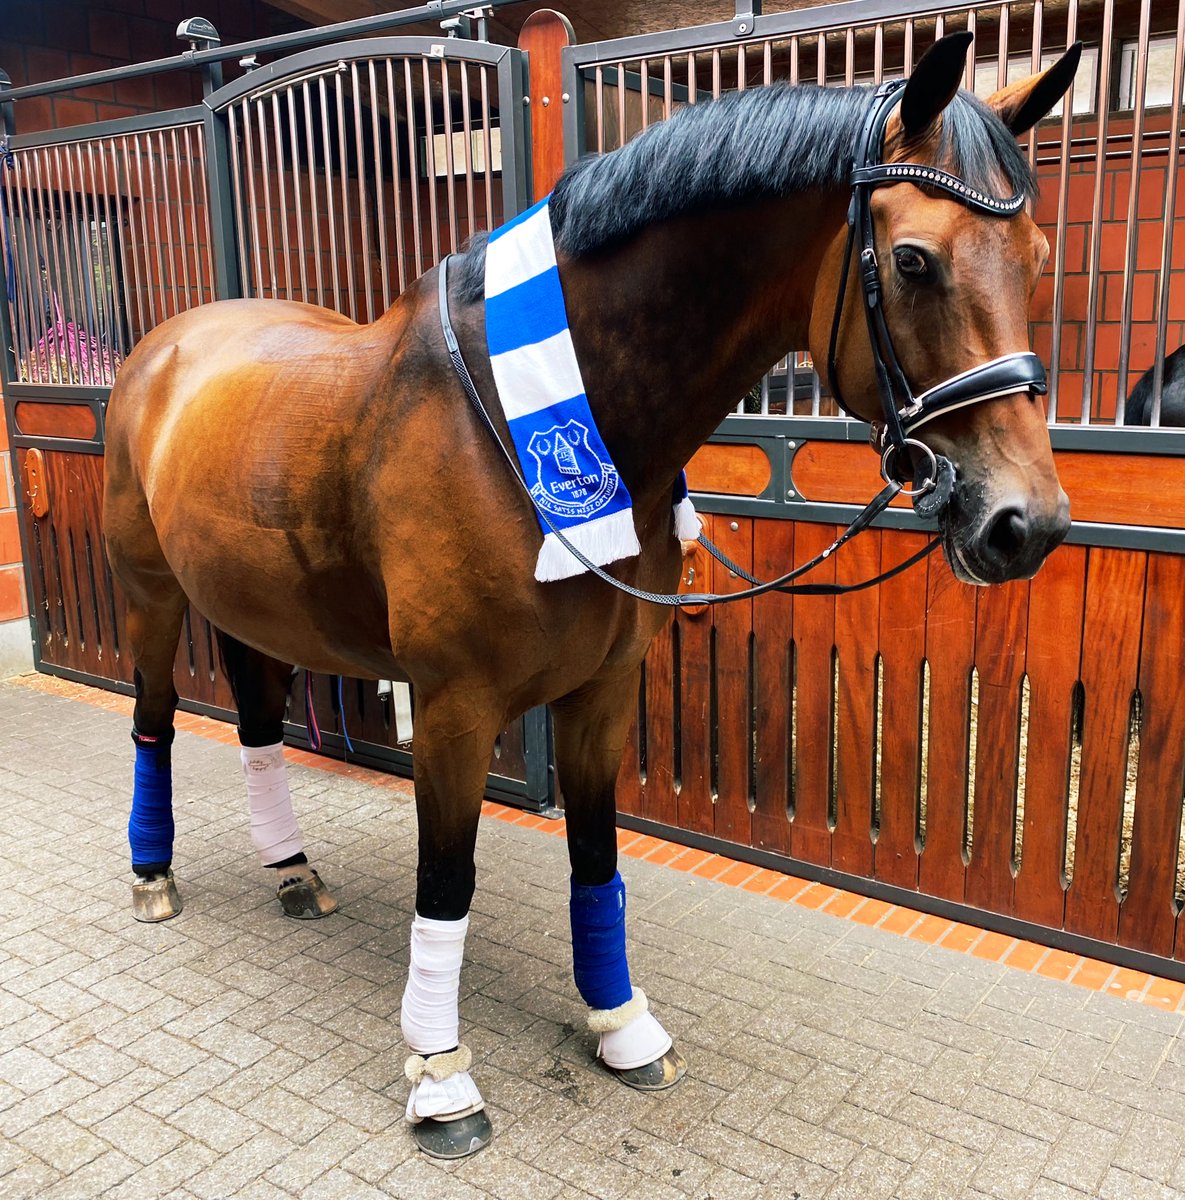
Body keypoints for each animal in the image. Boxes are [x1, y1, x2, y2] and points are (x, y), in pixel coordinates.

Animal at [101, 32, 1077, 1158]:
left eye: (1036, 259)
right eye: (913, 260)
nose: (1025, 523)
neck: (532, 423)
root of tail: (168, 344)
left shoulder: (606, 689)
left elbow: (597, 857)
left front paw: (620, 1025)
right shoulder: (453, 709)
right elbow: (448, 884)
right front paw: (440, 1075)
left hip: (252, 601)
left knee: (260, 724)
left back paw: (292, 870)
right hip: (151, 596)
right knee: (153, 721)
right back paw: (153, 875)